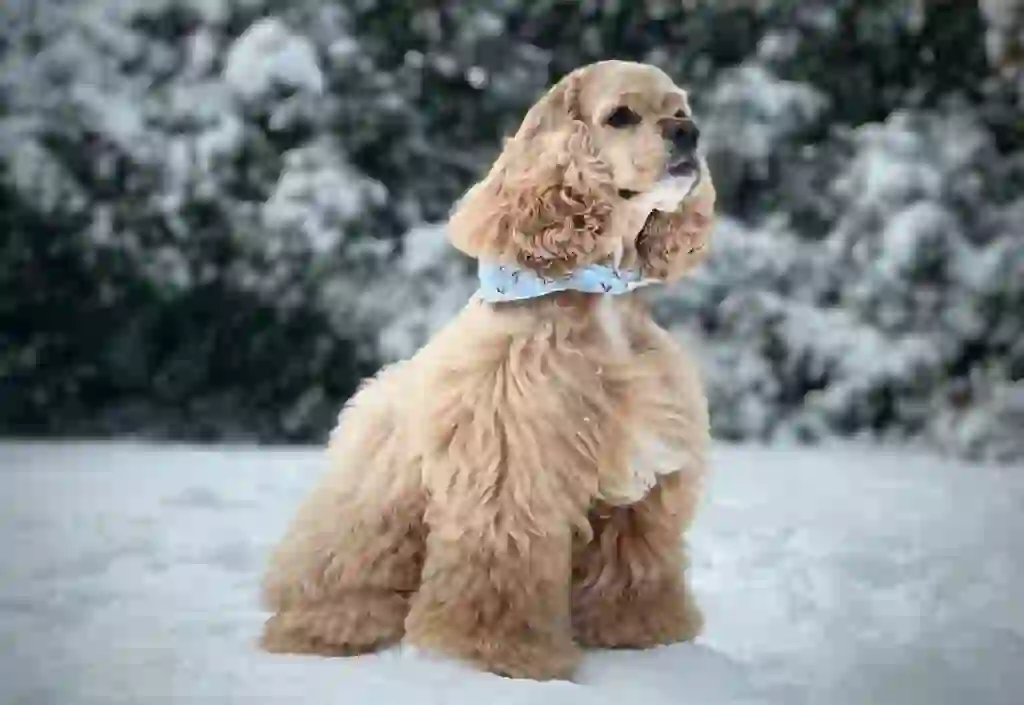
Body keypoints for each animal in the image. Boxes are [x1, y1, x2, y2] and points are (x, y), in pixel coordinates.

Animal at [260, 61, 716, 684]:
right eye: (621, 115)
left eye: (680, 109)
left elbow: (635, 560)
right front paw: (501, 655)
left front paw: (644, 633)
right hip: (369, 526)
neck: (599, 293)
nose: (688, 133)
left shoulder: (641, 478)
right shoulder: (512, 464)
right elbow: (502, 569)